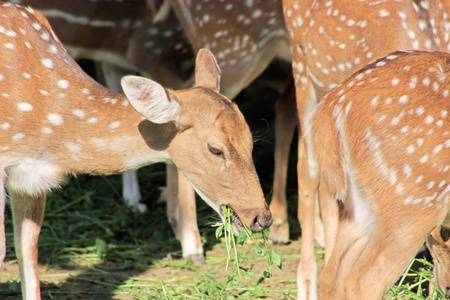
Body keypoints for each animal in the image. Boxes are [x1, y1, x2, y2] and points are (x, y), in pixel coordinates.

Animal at [312, 50, 448, 298]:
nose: (446, 287)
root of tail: (332, 104)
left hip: (358, 205)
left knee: (330, 277)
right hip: (415, 197)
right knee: (366, 281)